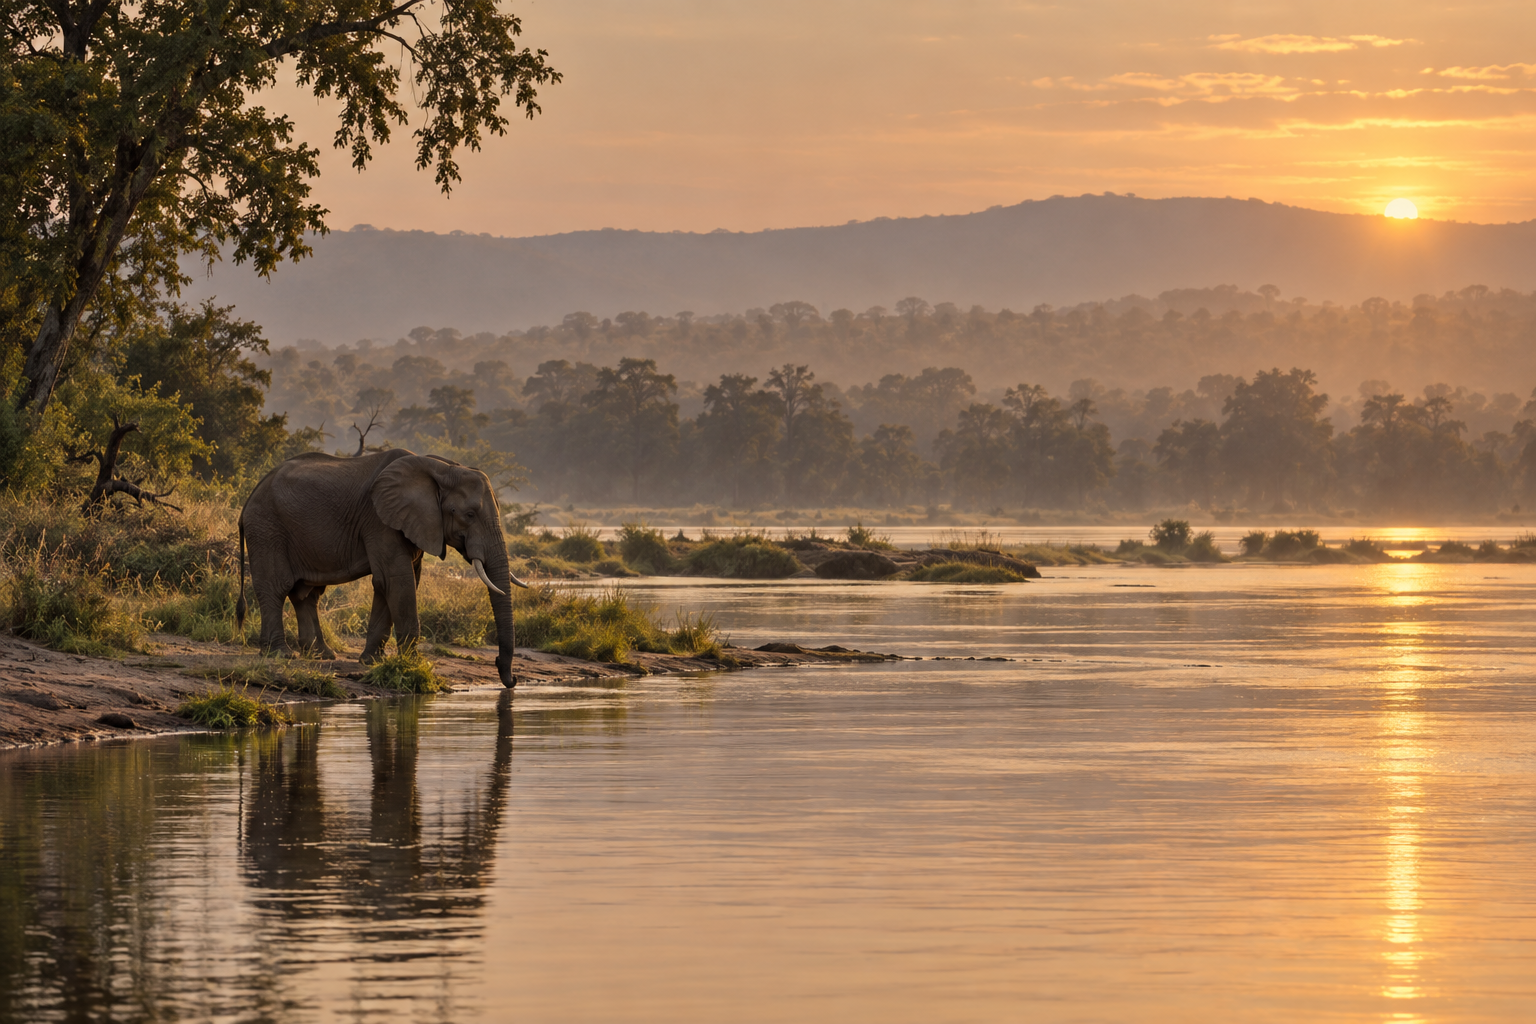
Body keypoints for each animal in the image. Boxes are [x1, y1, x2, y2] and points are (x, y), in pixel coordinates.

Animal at [236, 449, 530, 687]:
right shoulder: (379, 520)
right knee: (277, 587)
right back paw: (280, 653)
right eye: (469, 515)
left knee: (307, 594)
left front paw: (371, 661)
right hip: (267, 528)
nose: (511, 678)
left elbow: (395, 582)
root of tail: (249, 497)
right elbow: (396, 579)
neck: (442, 468)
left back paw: (320, 654)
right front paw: (415, 664)